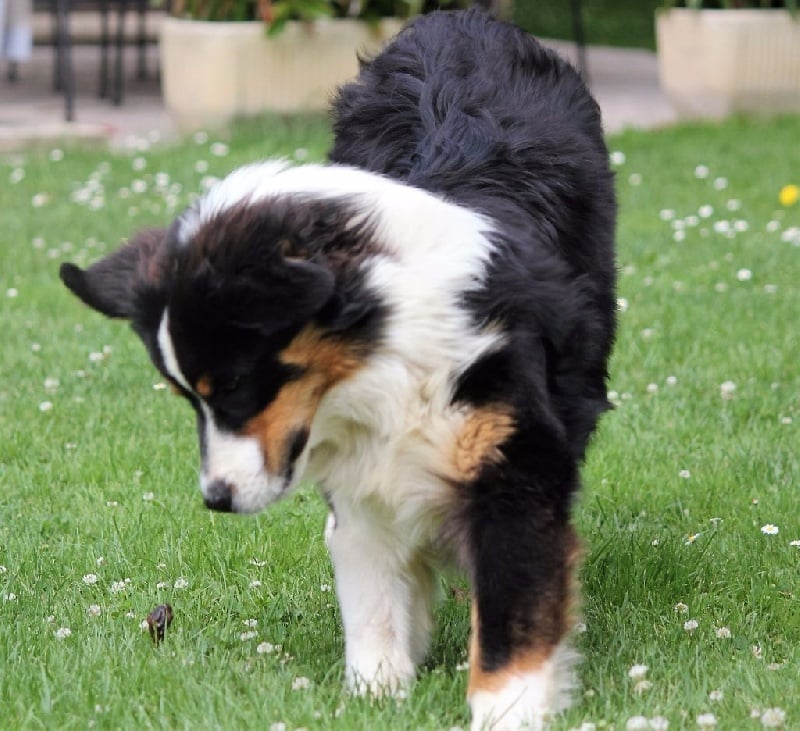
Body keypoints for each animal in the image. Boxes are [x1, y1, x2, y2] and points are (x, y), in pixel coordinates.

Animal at [59, 8, 616, 728]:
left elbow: (511, 625)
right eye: (190, 398)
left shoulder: (515, 468)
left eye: (233, 384)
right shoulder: (361, 483)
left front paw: (507, 709)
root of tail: (461, 19)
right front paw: (379, 691)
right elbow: (373, 594)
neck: (389, 351)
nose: (216, 499)